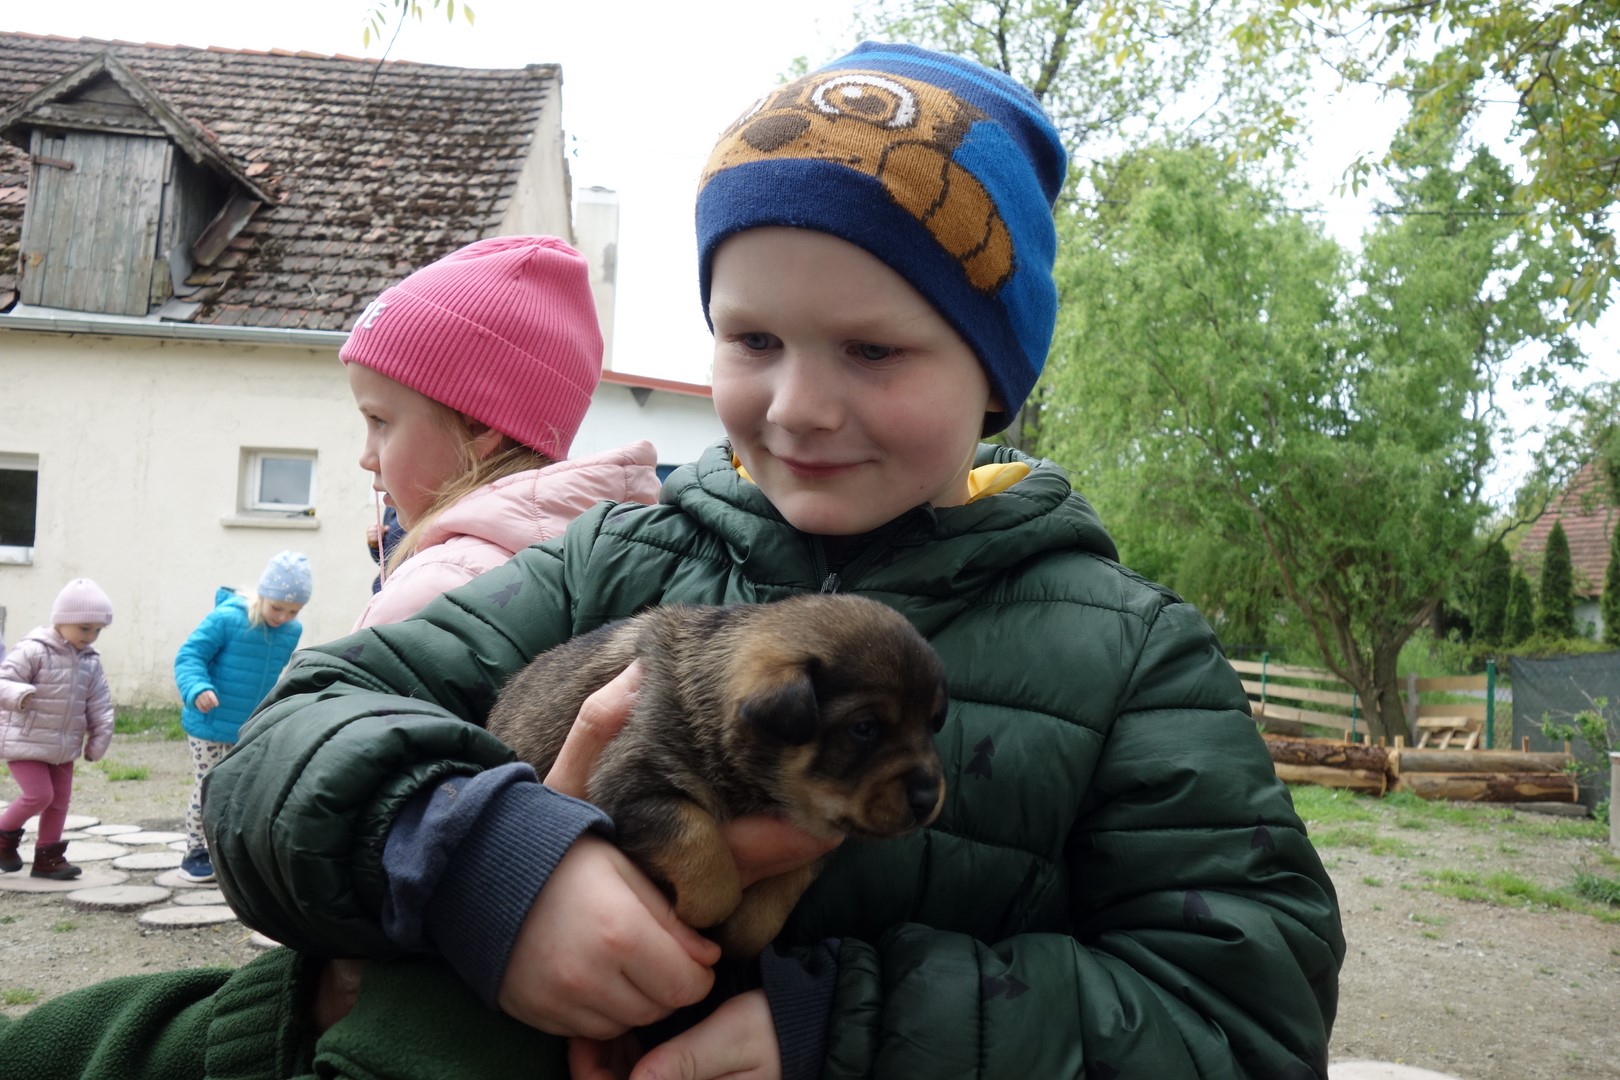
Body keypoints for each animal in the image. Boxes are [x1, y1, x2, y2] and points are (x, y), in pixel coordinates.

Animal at [486, 593, 948, 958]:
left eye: (932, 725)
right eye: (864, 728)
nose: (929, 799)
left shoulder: (820, 837)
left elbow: (780, 896)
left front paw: (743, 932)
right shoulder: (625, 784)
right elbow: (698, 840)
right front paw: (699, 910)